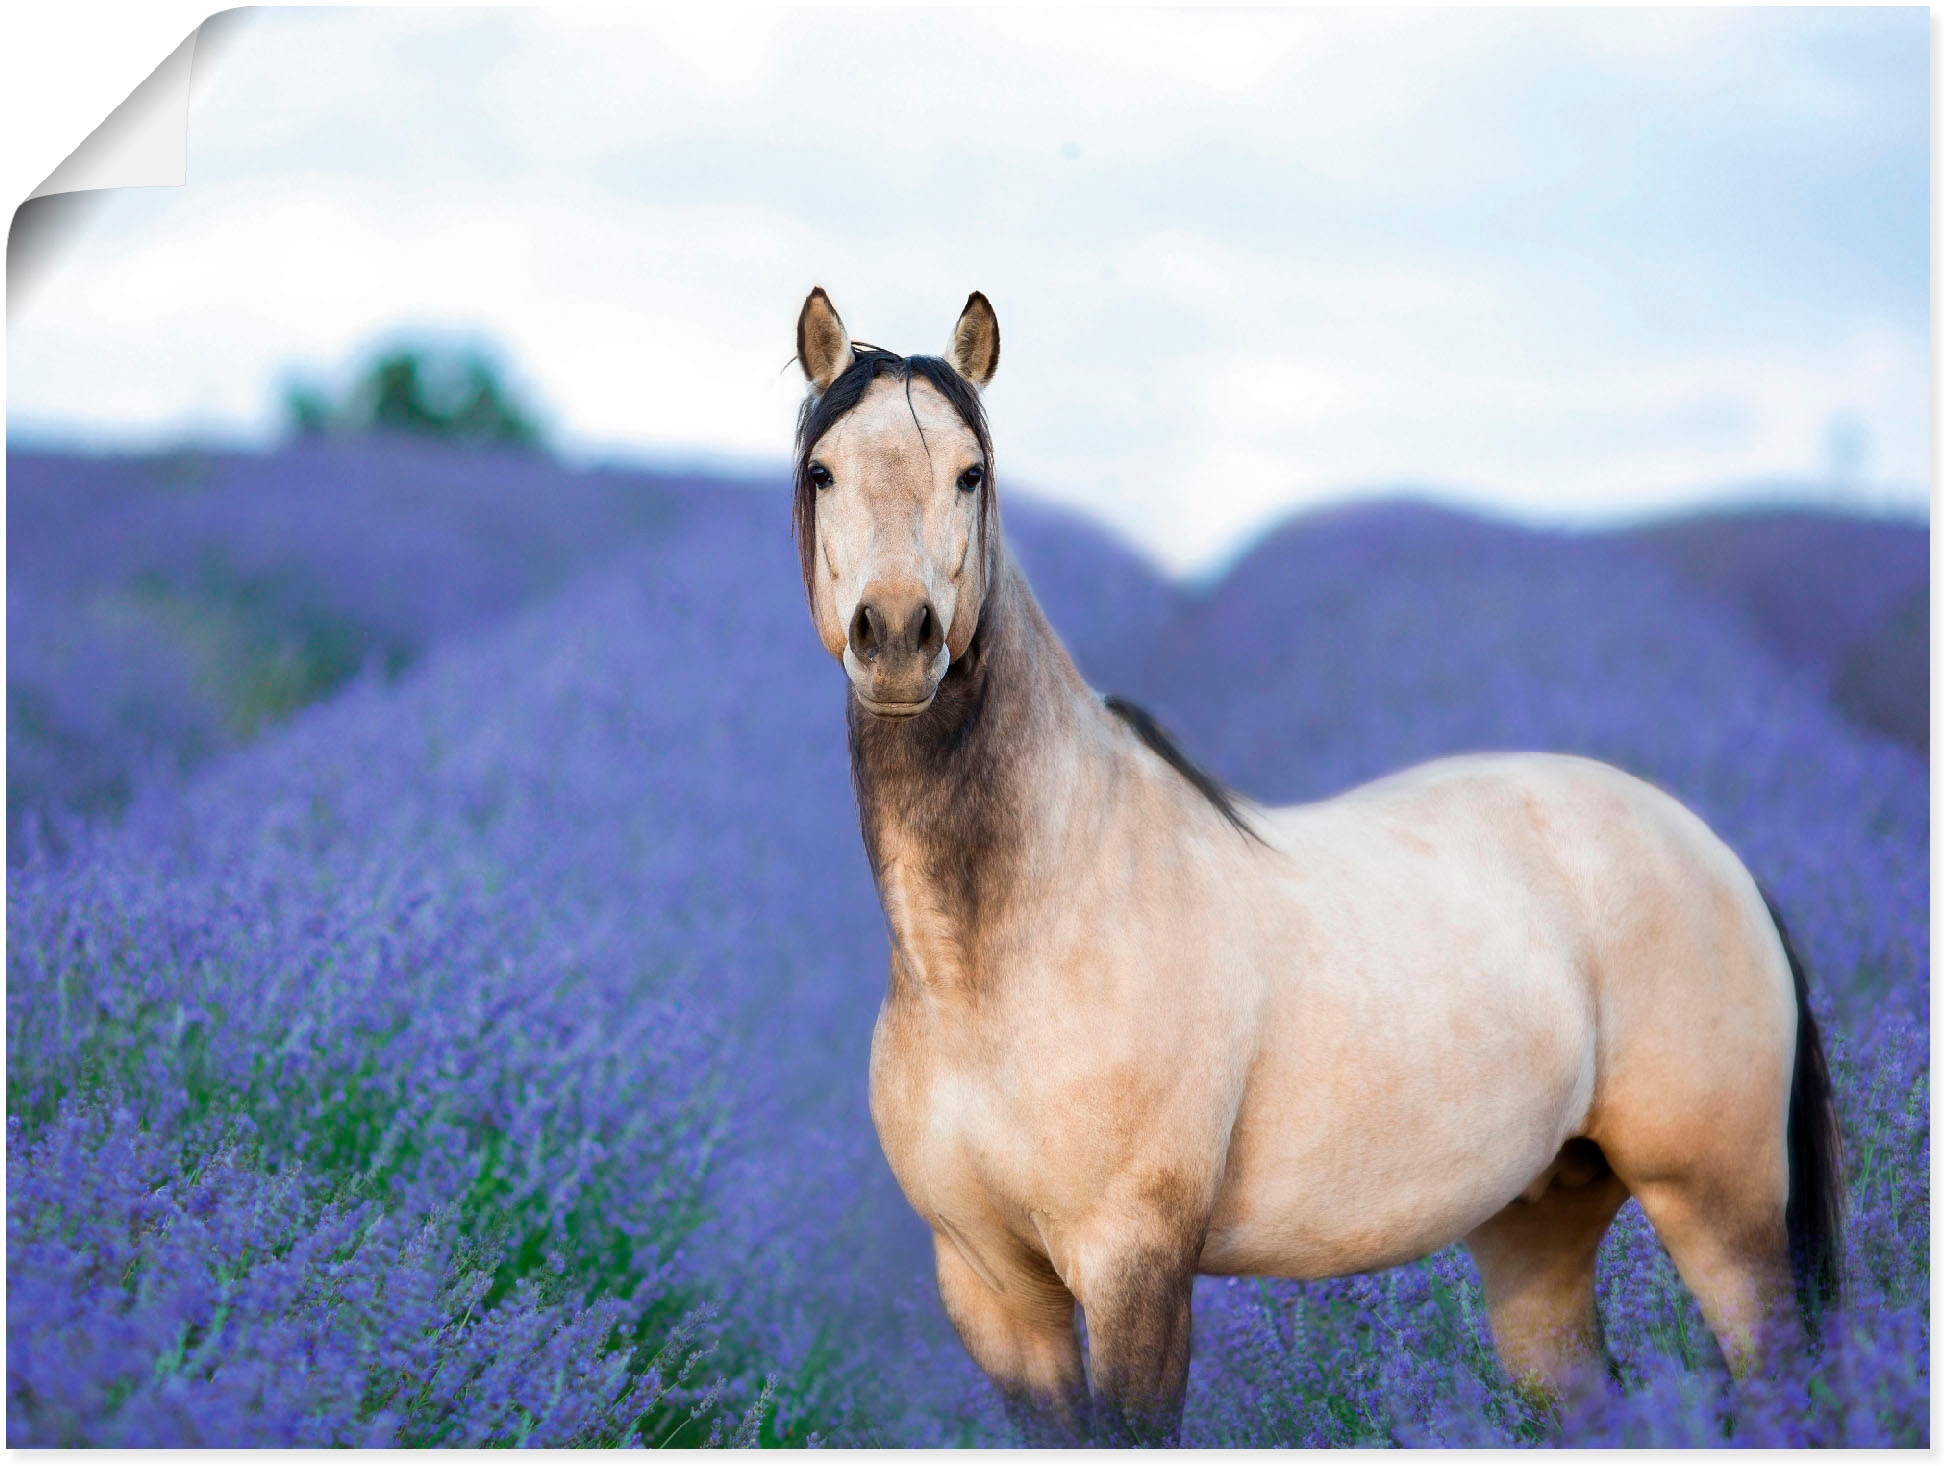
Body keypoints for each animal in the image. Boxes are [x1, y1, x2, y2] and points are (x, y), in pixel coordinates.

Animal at [785, 285, 1836, 1438]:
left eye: (970, 471)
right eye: (822, 469)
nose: (896, 637)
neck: (996, 957)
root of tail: (1714, 854)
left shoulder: (1134, 1269)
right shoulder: (993, 1293)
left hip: (1720, 1210)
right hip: (1540, 1230)